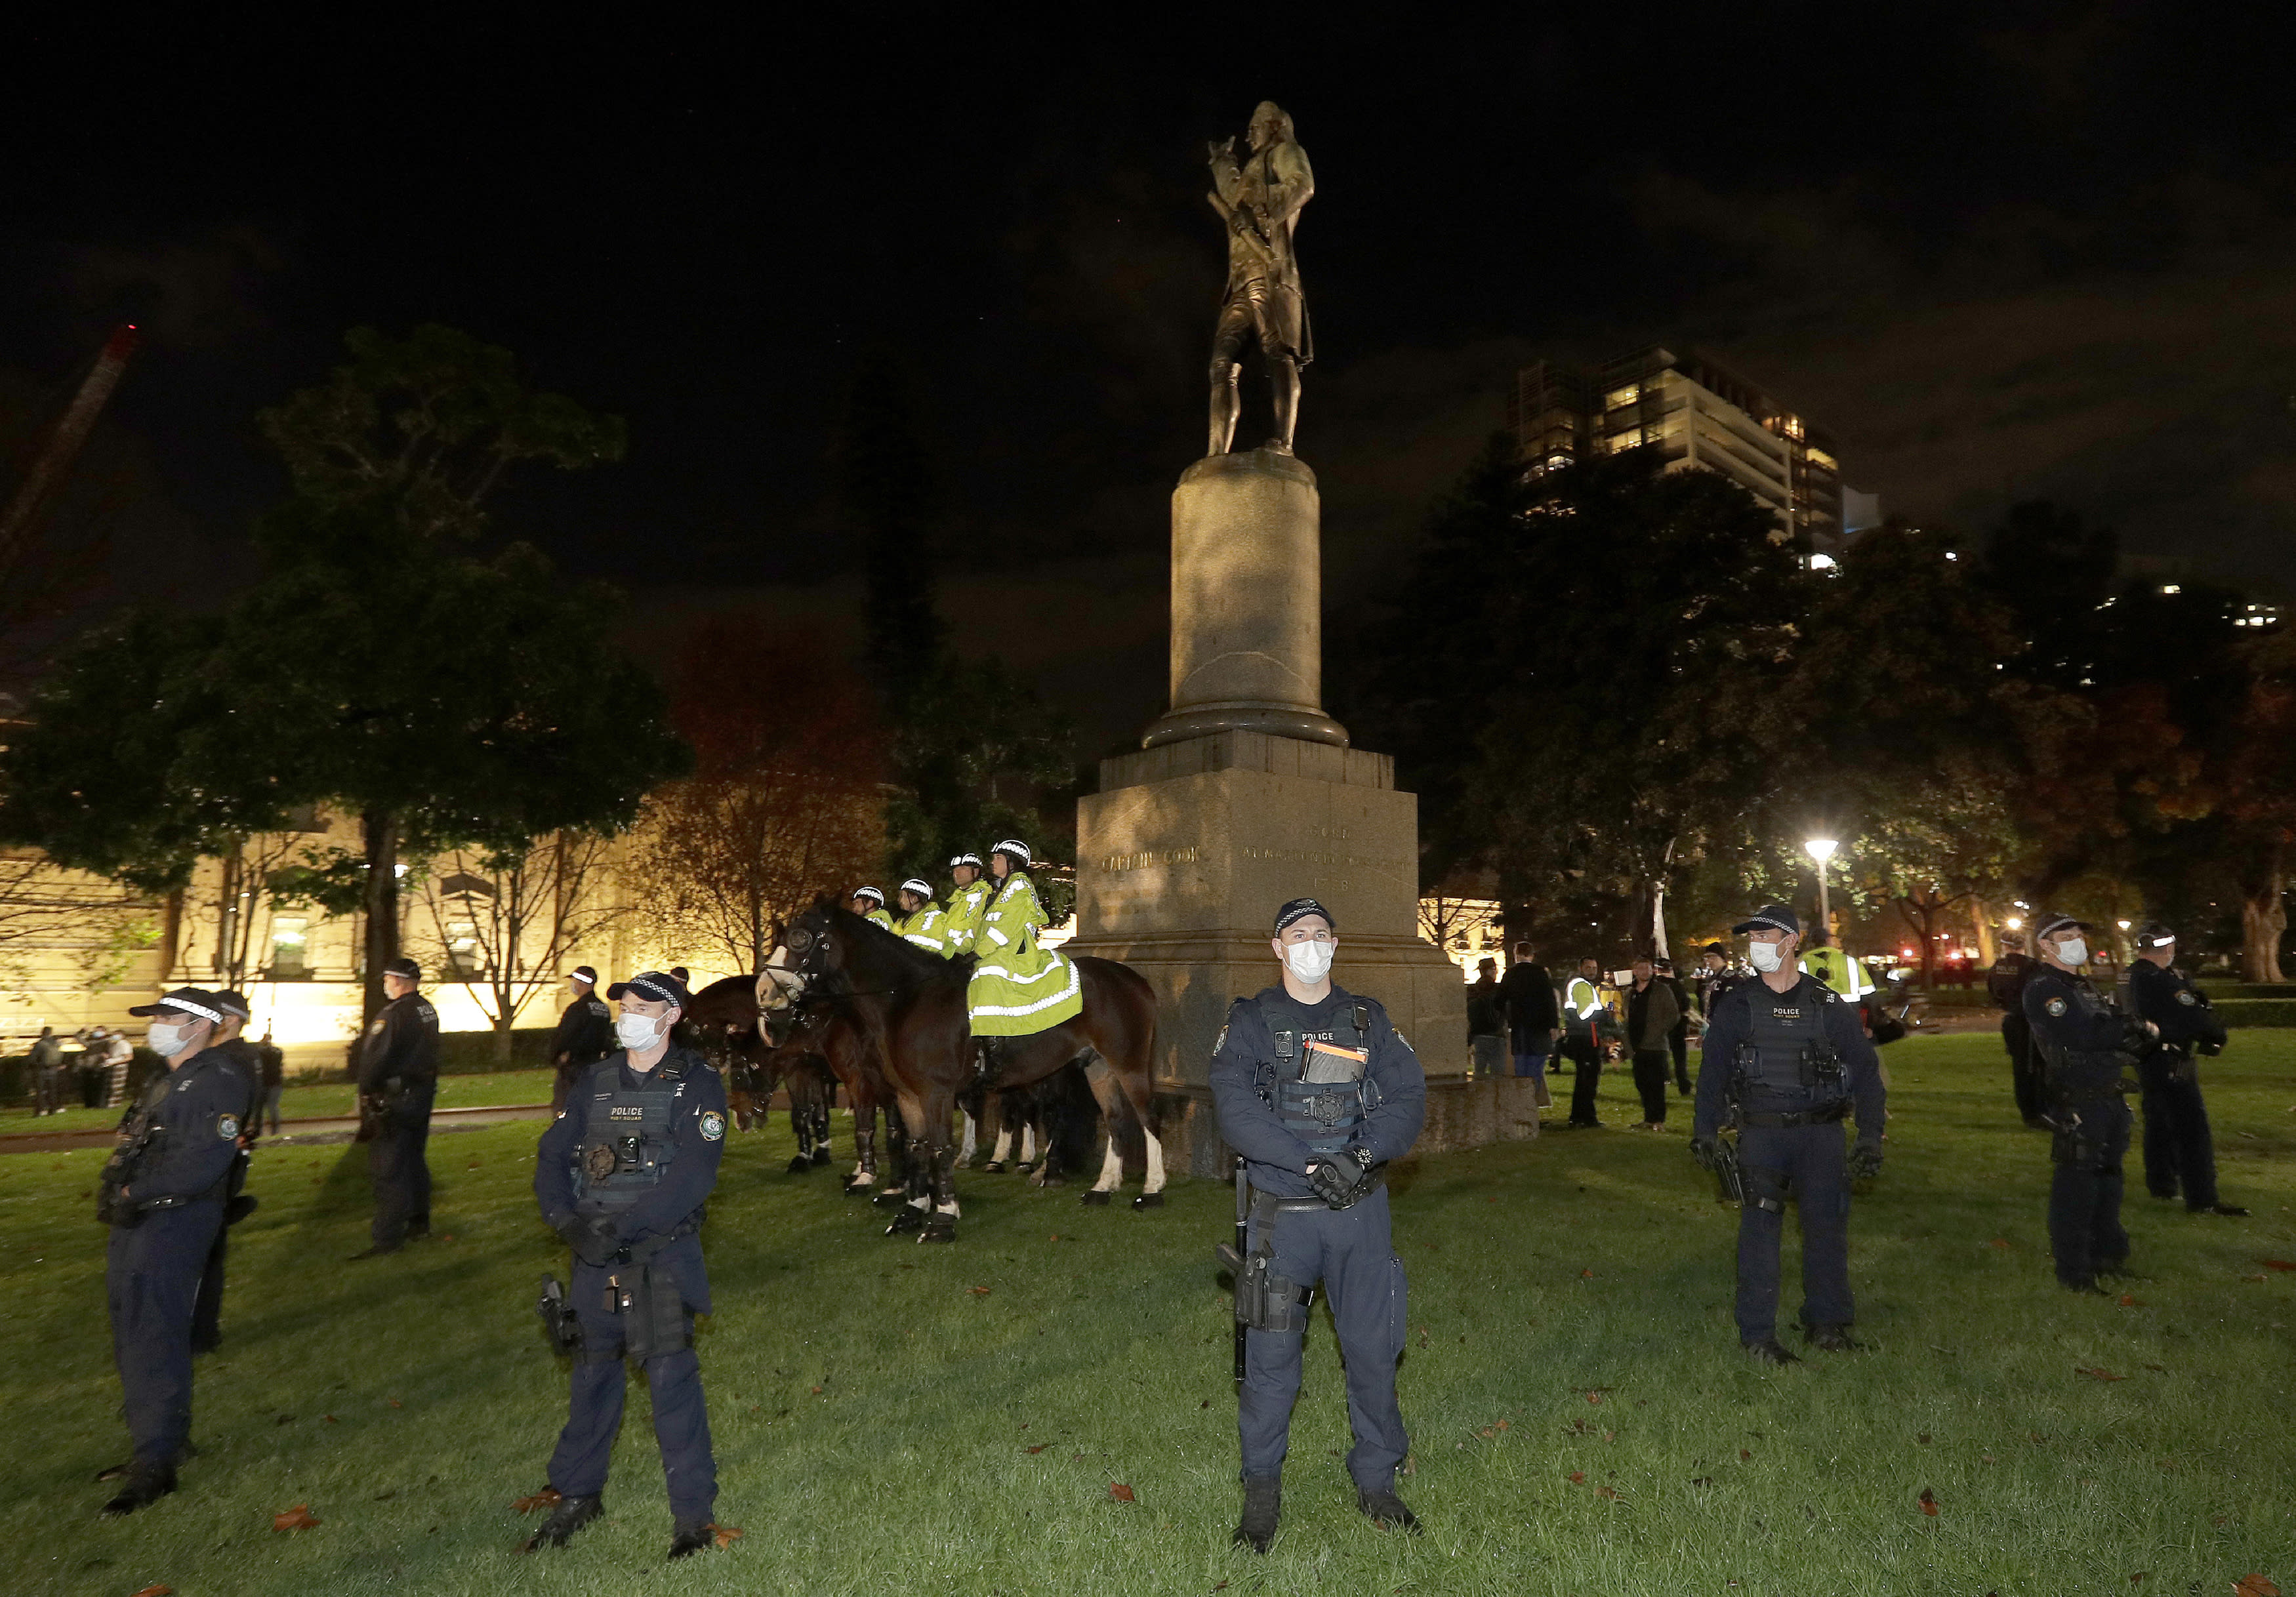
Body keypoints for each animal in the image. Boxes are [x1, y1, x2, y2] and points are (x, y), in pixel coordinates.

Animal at [767, 904, 1166, 1239]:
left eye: (800, 938)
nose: (766, 994)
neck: (907, 1002)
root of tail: (1135, 978)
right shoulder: (907, 1095)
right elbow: (916, 1147)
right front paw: (912, 1210)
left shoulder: (935, 1093)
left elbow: (941, 1148)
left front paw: (943, 1216)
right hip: (1098, 1067)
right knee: (1116, 1120)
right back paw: (1103, 1188)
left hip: (1128, 1065)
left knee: (1148, 1118)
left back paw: (1152, 1190)